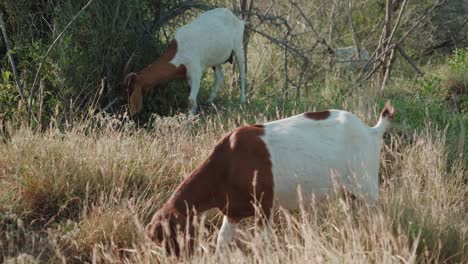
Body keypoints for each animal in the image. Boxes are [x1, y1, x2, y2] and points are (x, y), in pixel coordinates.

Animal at [145, 102, 394, 255]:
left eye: (169, 236)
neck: (226, 165)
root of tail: (371, 131)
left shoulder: (263, 207)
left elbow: (260, 243)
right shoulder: (233, 211)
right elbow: (222, 241)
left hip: (366, 185)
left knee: (379, 215)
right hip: (346, 193)